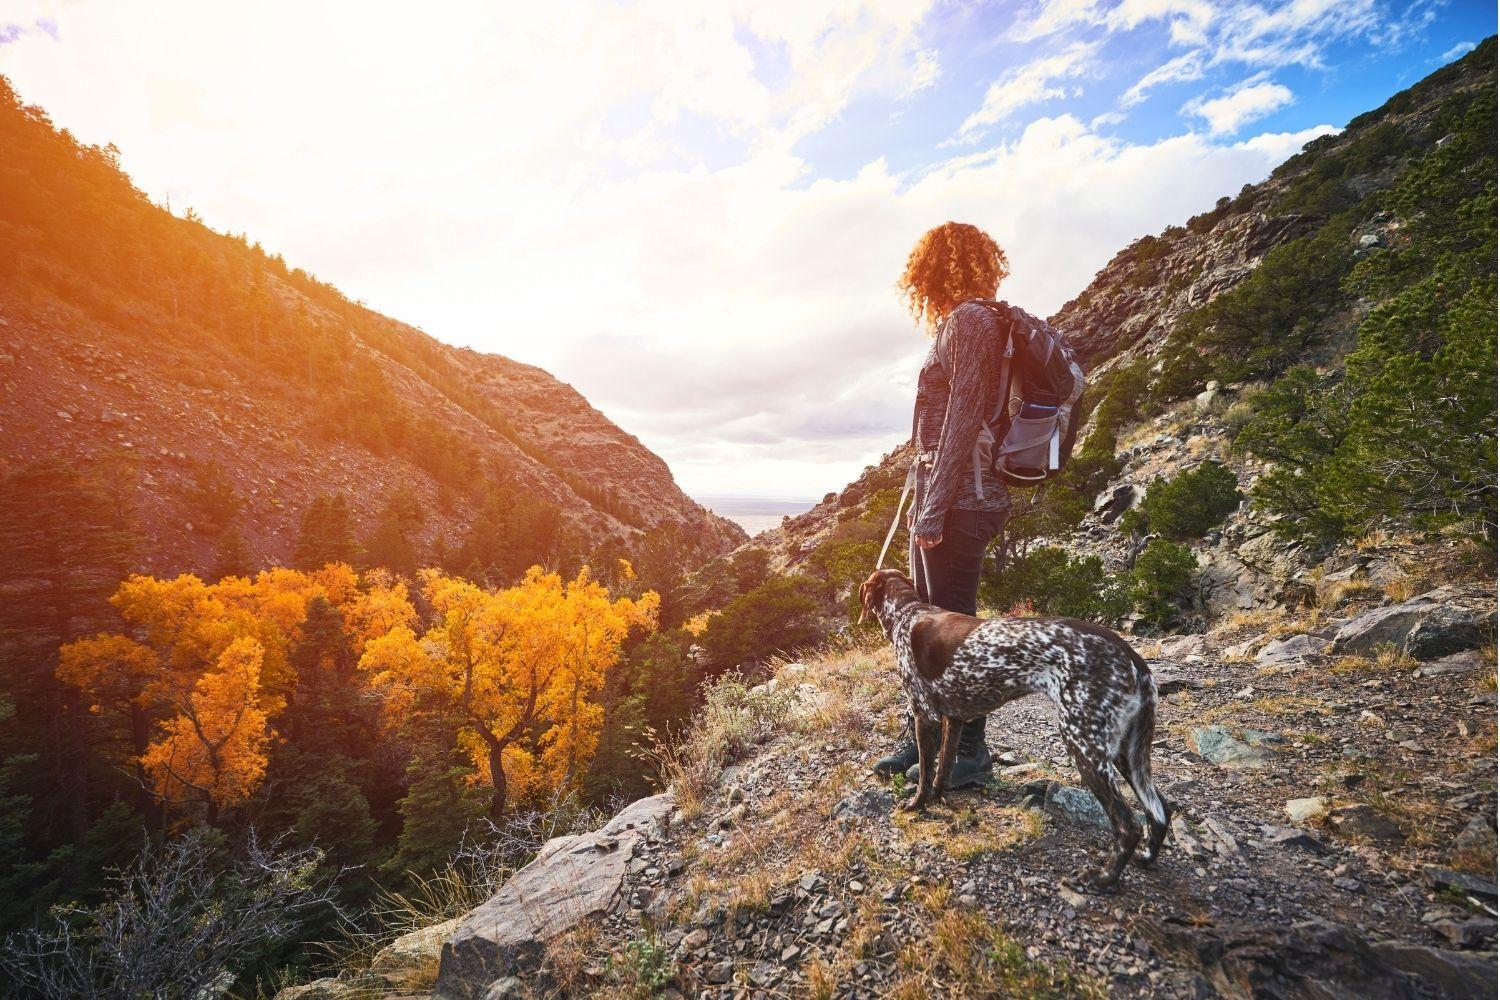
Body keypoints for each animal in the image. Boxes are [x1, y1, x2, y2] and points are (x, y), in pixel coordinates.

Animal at [858, 569, 1170, 893]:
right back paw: (1147, 857)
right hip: (1122, 749)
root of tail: (1132, 656)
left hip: (1083, 743)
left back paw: (1103, 877)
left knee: (1129, 825)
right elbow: (942, 770)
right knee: (1160, 809)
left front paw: (916, 805)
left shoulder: (925, 716)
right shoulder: (954, 719)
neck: (908, 612)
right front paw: (937, 798)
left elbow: (925, 775)